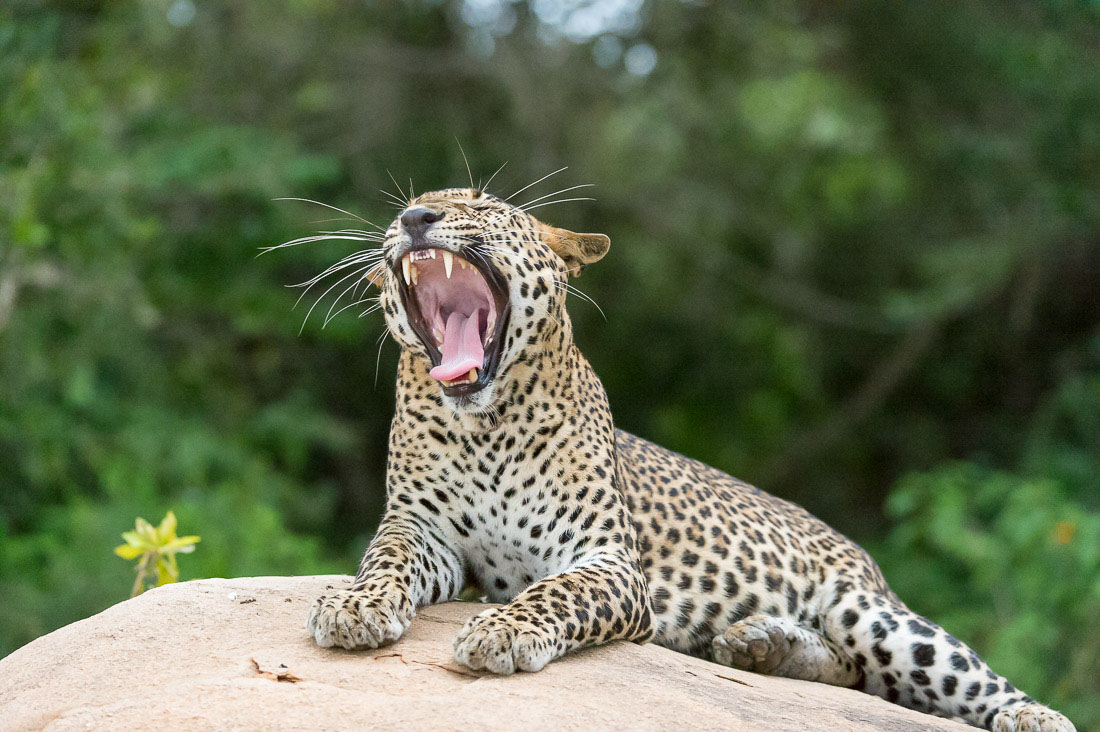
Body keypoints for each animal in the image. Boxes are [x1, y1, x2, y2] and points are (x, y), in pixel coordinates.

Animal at [303, 186, 1073, 726]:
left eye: (482, 204)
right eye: (403, 211)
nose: (415, 217)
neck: (483, 427)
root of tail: (859, 555)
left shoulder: (607, 561)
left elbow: (555, 592)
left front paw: (502, 629)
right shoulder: (422, 531)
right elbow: (385, 561)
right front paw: (354, 605)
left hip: (872, 612)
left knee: (942, 669)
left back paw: (1033, 716)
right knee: (854, 672)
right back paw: (761, 645)